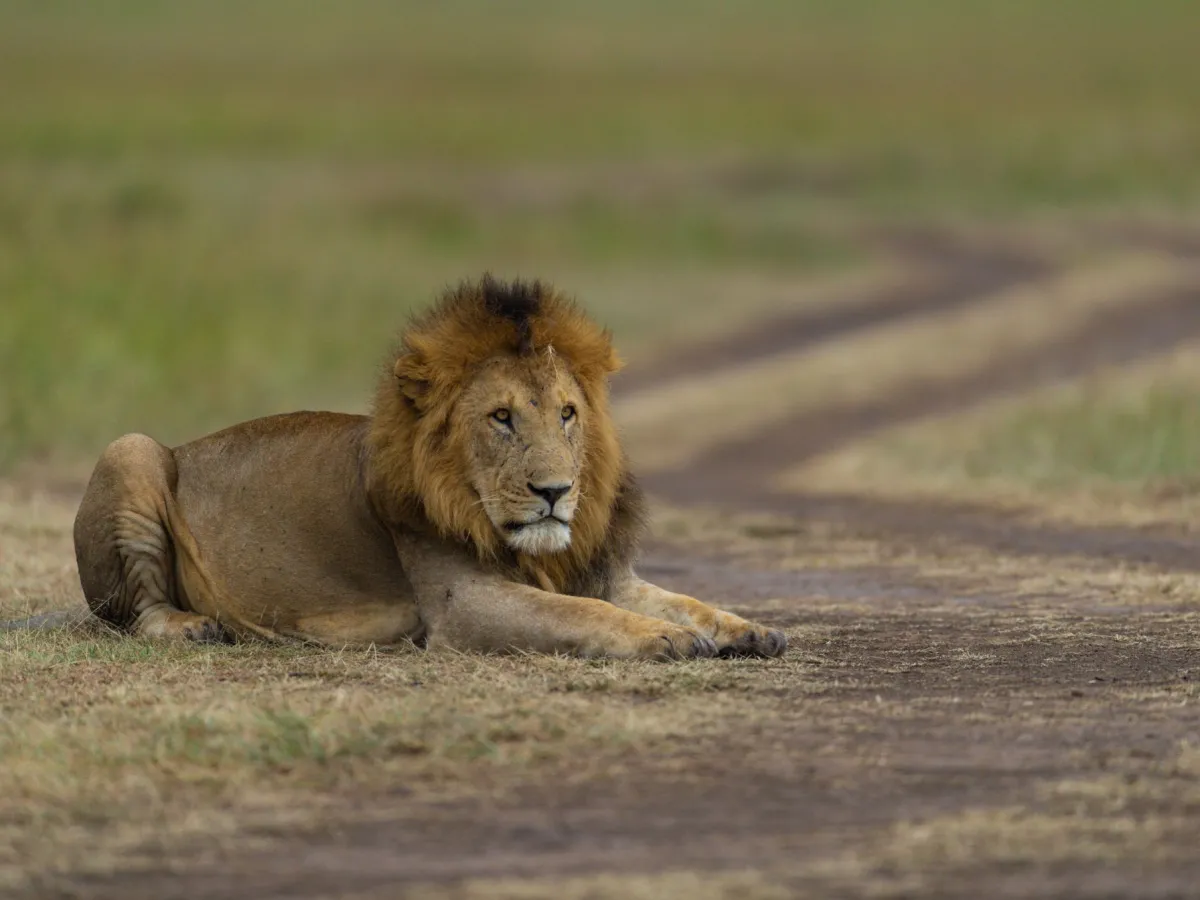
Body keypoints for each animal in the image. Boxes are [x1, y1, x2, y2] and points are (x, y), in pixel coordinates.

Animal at [71, 276, 787, 659]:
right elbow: (586, 615)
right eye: (501, 417)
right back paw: (194, 626)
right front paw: (663, 638)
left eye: (566, 413)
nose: (555, 491)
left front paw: (750, 629)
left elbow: (685, 601)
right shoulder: (463, 605)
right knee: (136, 614)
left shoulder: (603, 571)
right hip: (129, 448)